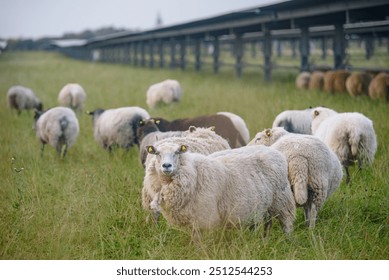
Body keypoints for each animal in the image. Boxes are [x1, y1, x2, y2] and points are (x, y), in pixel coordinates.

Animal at [142, 142, 294, 238]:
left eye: (177, 152)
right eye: (157, 153)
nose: (166, 166)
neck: (193, 172)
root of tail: (274, 151)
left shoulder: (203, 216)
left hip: (281, 199)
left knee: (286, 223)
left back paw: (288, 242)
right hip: (264, 205)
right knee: (267, 224)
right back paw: (263, 242)